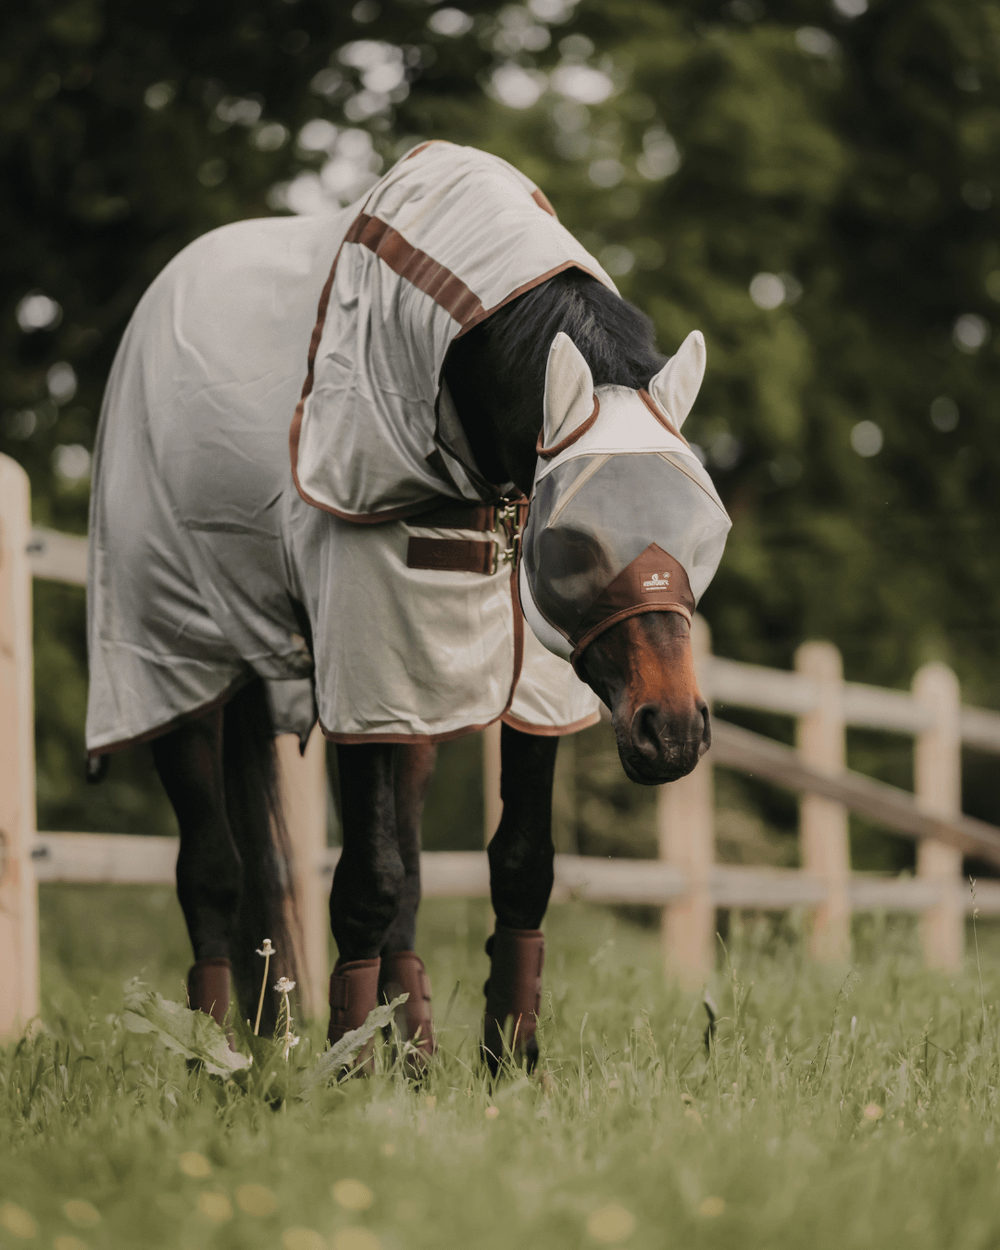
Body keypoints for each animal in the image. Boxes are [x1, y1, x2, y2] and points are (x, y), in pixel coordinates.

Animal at [85, 144, 723, 1070]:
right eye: (573, 539)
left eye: (706, 526)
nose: (670, 731)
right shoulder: (365, 666)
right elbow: (365, 881)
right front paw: (346, 1064)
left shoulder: (522, 684)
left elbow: (516, 863)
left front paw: (511, 1061)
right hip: (172, 660)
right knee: (211, 871)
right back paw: (221, 1056)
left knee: (402, 874)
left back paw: (410, 1052)